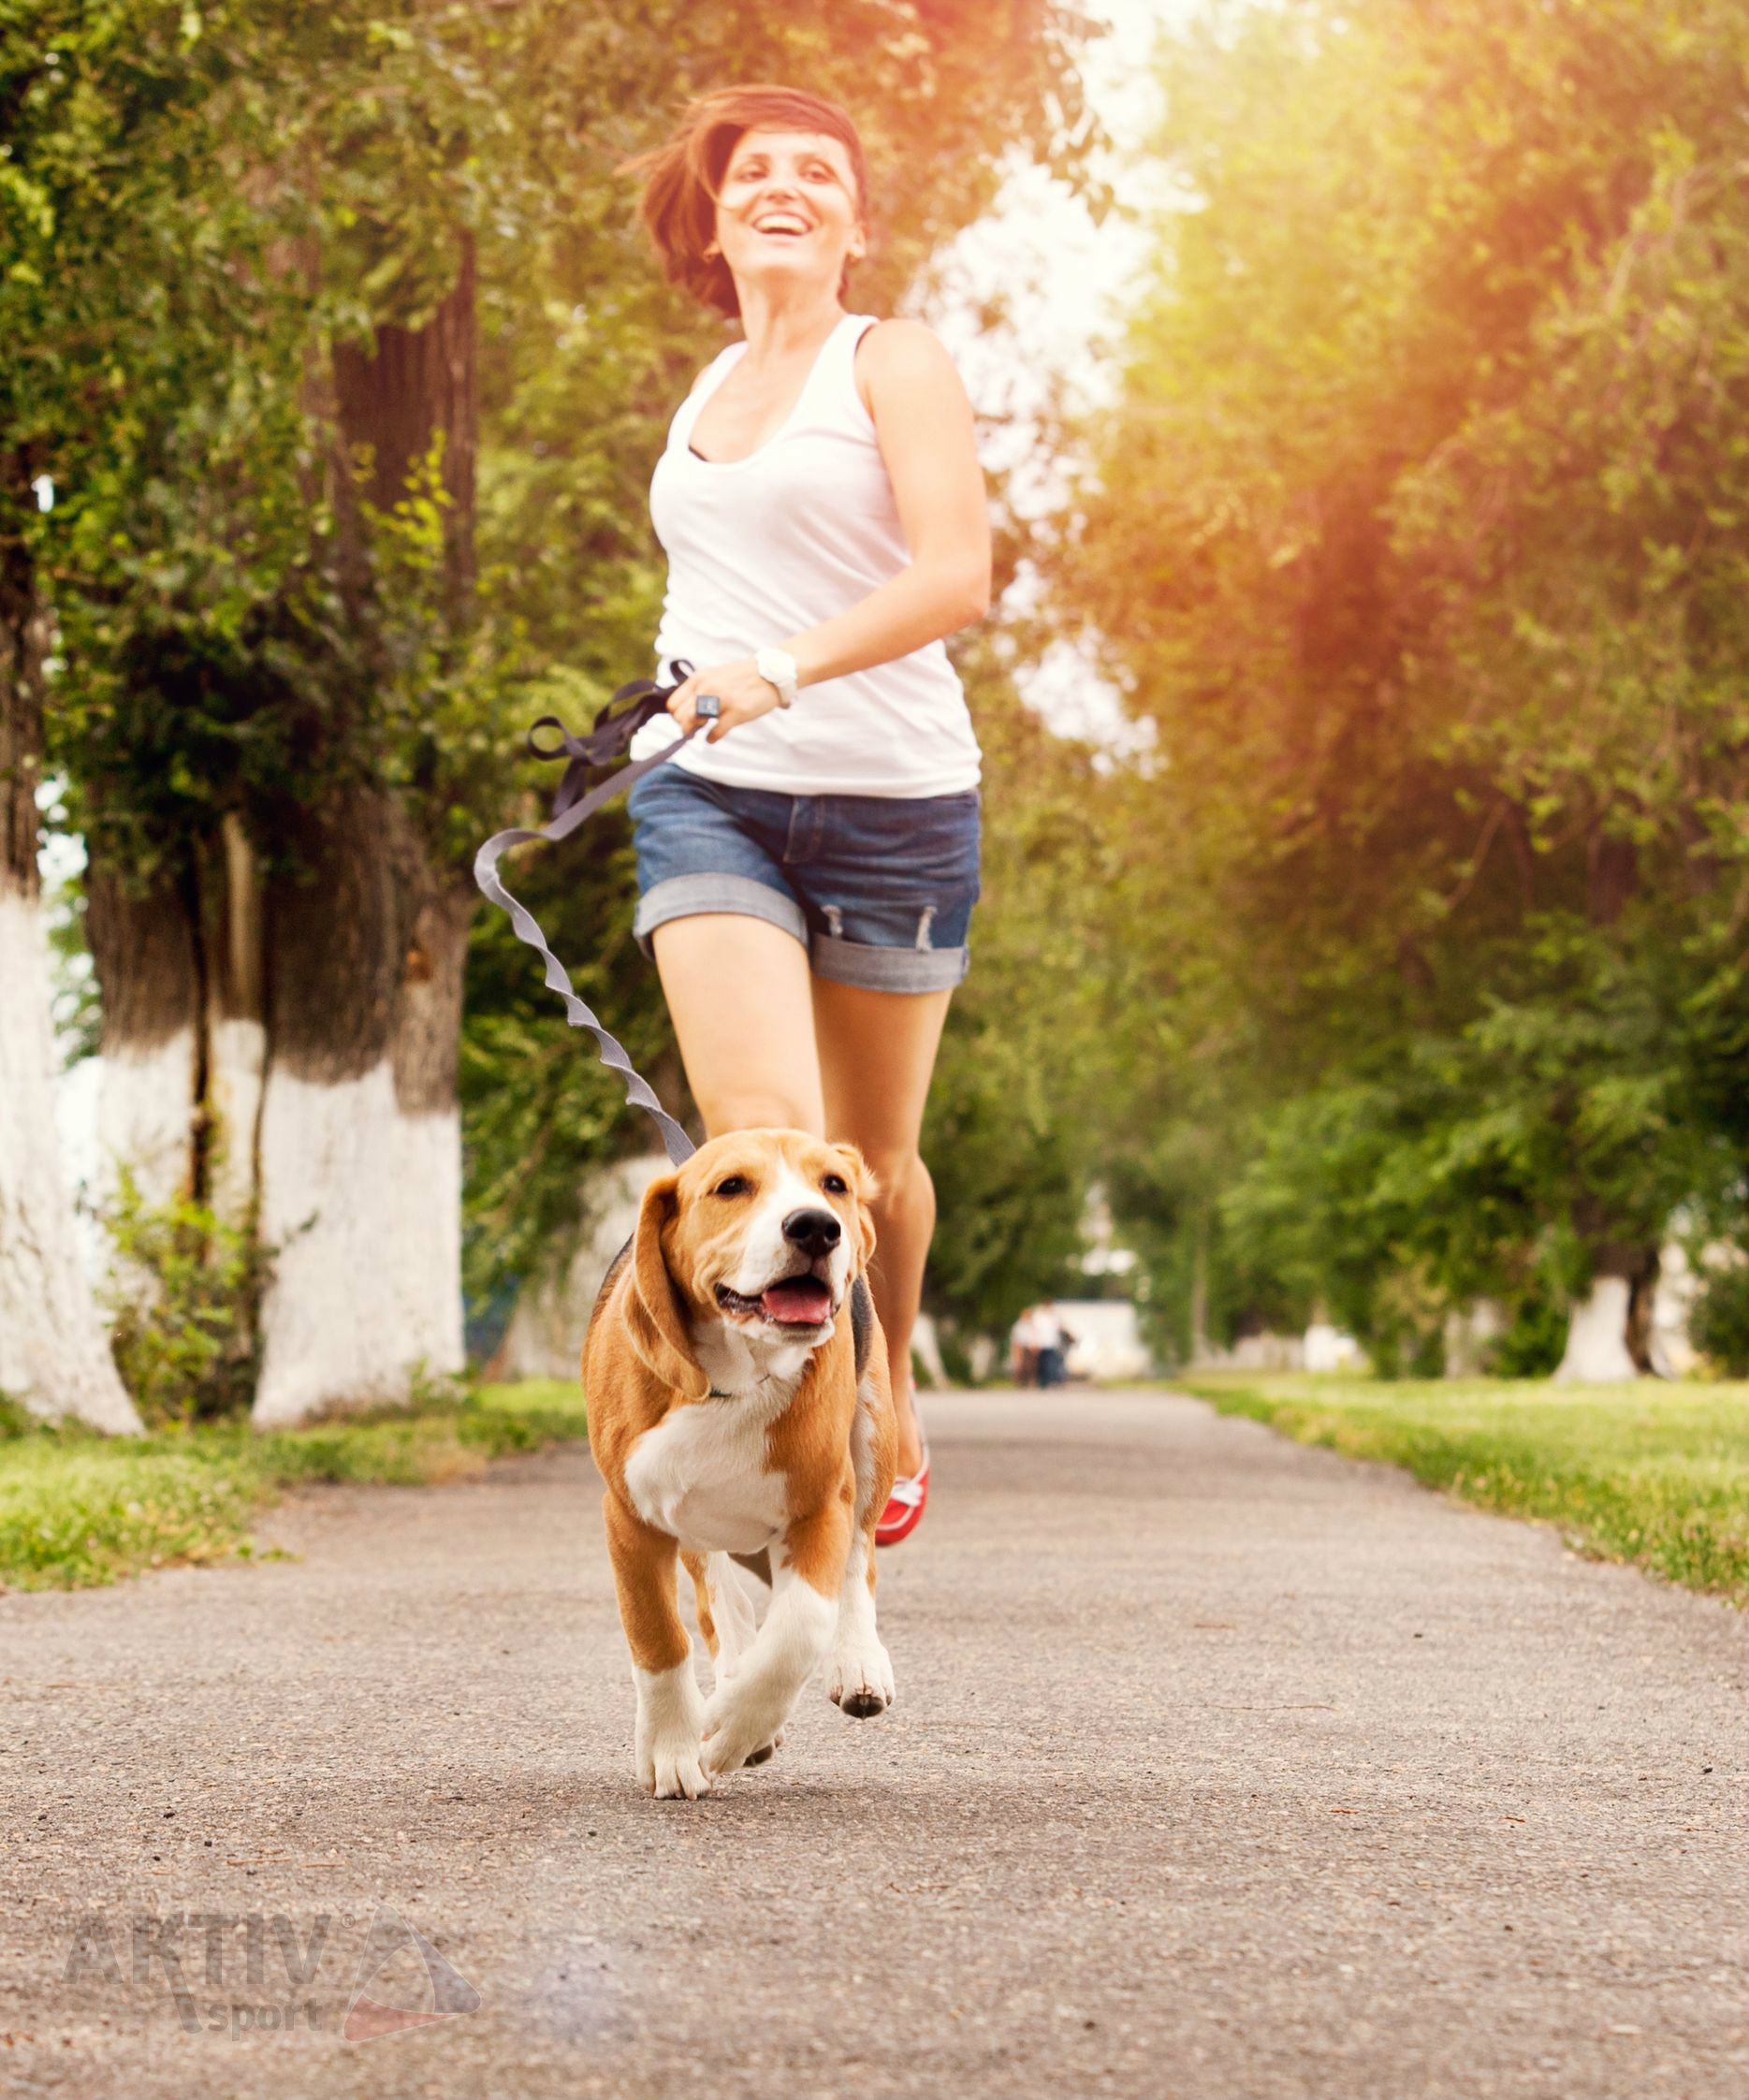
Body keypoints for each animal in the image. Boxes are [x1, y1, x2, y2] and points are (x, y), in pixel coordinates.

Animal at [588, 1125, 898, 1797]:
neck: (736, 1378)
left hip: (873, 1437)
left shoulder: (819, 1509)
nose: (816, 1226)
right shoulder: (630, 1517)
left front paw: (729, 1731)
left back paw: (857, 1663)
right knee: (715, 1594)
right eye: (731, 1186)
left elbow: (798, 1632)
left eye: (833, 1184)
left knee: (859, 1560)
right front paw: (674, 1749)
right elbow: (659, 1636)